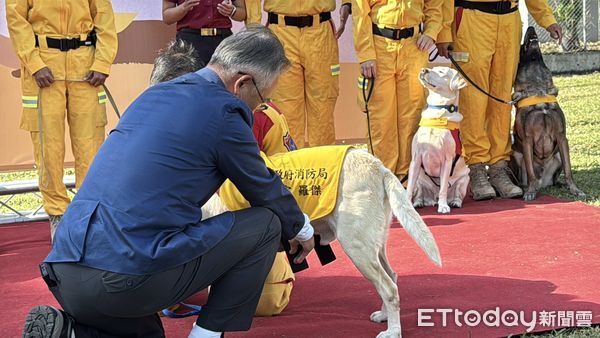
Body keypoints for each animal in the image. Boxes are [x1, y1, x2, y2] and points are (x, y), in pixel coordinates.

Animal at [202, 149, 440, 338]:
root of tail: (378, 167)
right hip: (374, 245)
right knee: (392, 276)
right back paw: (384, 316)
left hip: (356, 246)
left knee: (389, 288)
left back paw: (393, 331)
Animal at [408, 67, 468, 213]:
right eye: (433, 68)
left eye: (441, 72)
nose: (423, 70)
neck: (437, 115)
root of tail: (432, 199)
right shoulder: (415, 159)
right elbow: (409, 188)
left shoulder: (447, 161)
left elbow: (443, 188)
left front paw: (443, 206)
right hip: (419, 180)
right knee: (419, 194)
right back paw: (418, 203)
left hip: (465, 179)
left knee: (456, 194)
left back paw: (453, 202)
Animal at [508, 27, 584, 201]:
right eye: (521, 46)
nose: (531, 28)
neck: (538, 89)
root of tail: (543, 182)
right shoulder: (527, 140)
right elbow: (530, 172)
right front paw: (530, 191)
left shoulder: (562, 137)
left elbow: (569, 171)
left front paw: (575, 189)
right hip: (516, 155)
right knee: (524, 178)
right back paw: (526, 188)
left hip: (558, 157)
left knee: (556, 178)